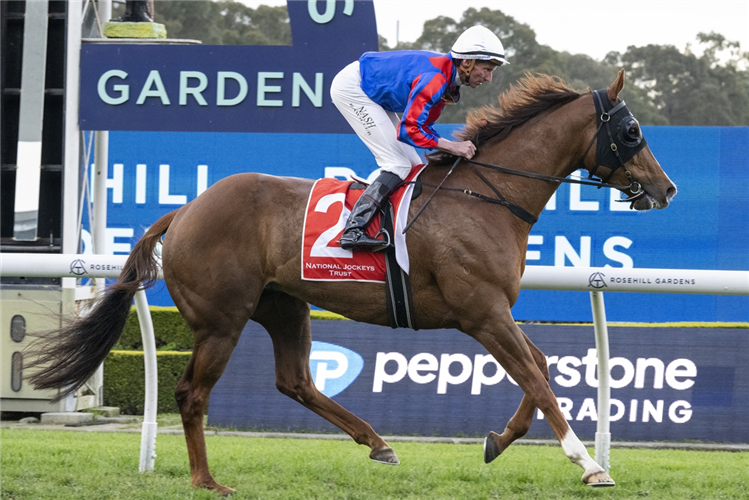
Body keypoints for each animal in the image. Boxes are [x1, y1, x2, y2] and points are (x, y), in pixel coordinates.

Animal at [26, 69, 676, 495]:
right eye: (633, 132)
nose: (666, 189)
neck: (486, 197)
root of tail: (183, 211)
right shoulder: (481, 312)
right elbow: (538, 379)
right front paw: (589, 463)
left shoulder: (493, 311)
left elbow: (538, 369)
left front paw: (498, 440)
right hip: (222, 319)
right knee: (192, 394)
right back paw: (207, 480)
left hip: (284, 306)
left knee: (294, 381)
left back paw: (377, 442)